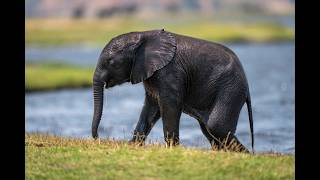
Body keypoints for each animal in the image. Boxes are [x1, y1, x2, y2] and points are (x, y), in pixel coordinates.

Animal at [91, 28, 254, 153]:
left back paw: (246, 155)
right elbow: (151, 107)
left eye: (111, 62)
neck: (143, 34)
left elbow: (169, 105)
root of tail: (247, 84)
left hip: (230, 89)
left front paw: (172, 149)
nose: (98, 138)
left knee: (216, 126)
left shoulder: (169, 72)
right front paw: (132, 146)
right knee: (208, 129)